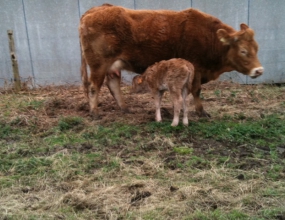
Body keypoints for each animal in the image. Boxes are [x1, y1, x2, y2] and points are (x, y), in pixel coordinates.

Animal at [79, 3, 262, 118]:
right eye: (243, 51)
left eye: (257, 48)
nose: (259, 70)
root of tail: (97, 9)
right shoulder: (195, 69)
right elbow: (196, 90)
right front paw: (201, 112)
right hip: (98, 64)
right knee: (94, 86)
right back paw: (94, 112)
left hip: (112, 65)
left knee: (113, 84)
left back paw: (125, 108)